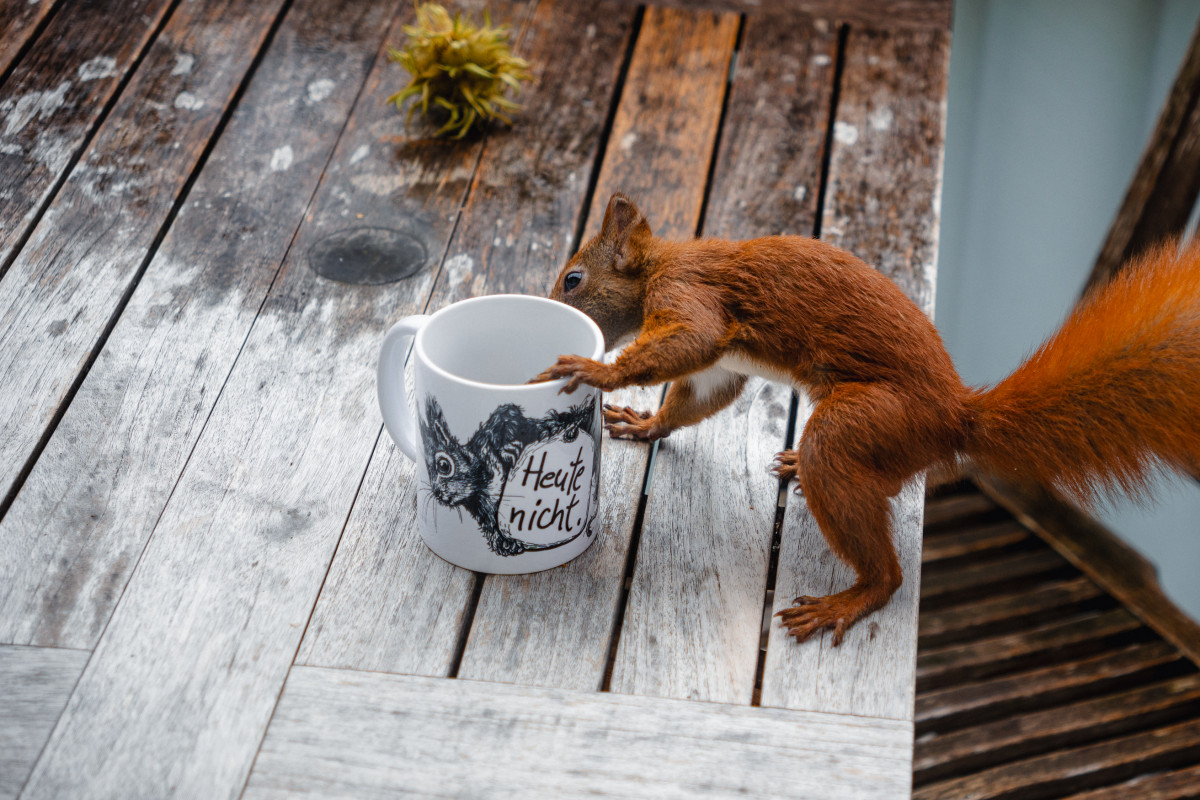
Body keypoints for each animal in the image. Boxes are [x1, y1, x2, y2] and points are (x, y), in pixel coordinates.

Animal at [535, 191, 1200, 642]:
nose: (551, 306)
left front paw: (595, 371)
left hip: (868, 421)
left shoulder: (690, 292)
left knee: (883, 564)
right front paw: (644, 424)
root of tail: (955, 417)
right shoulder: (719, 367)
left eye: (573, 278)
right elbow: (697, 394)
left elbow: (690, 340)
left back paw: (846, 599)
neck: (658, 266)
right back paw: (797, 467)